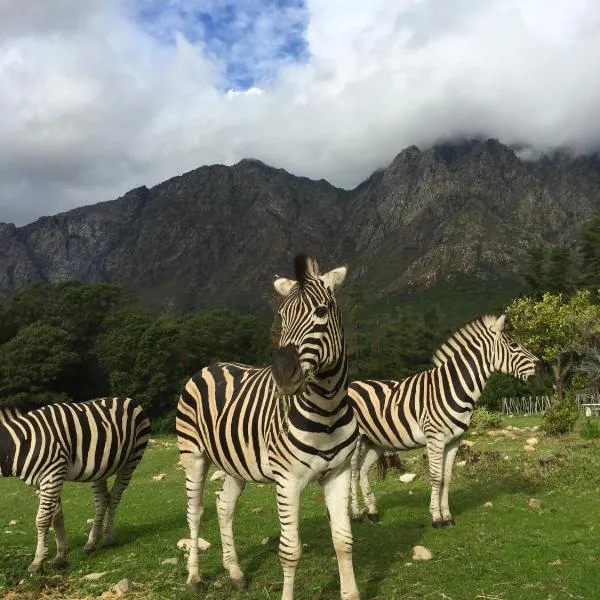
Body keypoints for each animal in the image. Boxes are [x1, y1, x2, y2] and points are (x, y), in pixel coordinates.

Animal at [0, 398, 150, 572]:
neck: (19, 445)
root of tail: (127, 399)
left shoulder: (52, 474)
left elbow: (43, 519)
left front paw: (38, 561)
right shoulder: (41, 481)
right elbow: (56, 516)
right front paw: (61, 555)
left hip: (132, 459)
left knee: (114, 497)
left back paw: (108, 538)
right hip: (100, 468)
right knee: (102, 500)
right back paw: (91, 543)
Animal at [176, 254, 358, 600]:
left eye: (321, 312)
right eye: (282, 316)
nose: (283, 375)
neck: (327, 408)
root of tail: (211, 365)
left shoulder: (339, 473)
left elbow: (343, 541)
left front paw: (351, 593)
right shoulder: (287, 480)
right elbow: (290, 551)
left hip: (235, 463)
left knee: (224, 506)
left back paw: (235, 572)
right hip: (193, 455)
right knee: (195, 512)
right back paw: (193, 577)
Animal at [346, 316, 540, 528]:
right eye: (513, 345)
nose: (541, 367)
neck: (453, 388)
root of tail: (352, 384)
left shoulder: (454, 441)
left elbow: (447, 478)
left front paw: (447, 516)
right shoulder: (435, 438)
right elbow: (436, 476)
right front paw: (437, 518)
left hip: (375, 441)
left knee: (363, 470)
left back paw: (372, 513)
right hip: (356, 440)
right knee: (353, 472)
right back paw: (356, 514)